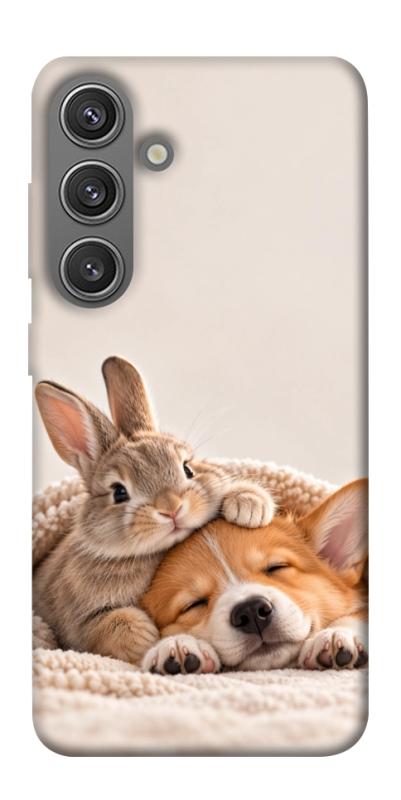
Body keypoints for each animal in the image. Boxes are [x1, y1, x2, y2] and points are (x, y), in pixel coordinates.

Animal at [33, 356, 276, 664]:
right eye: (119, 492)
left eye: (188, 468)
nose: (171, 508)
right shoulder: (77, 623)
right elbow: (106, 627)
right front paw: (147, 638)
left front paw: (249, 504)